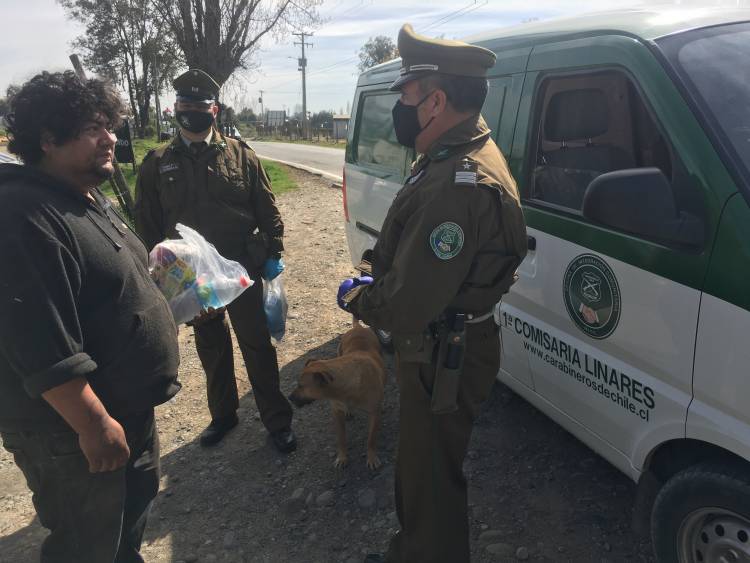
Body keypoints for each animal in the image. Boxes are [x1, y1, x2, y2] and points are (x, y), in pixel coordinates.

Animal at [290, 320, 388, 470]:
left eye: (301, 386)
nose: (289, 398)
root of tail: (358, 327)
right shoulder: (336, 411)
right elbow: (341, 439)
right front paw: (342, 457)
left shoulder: (373, 414)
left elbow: (371, 439)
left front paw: (371, 457)